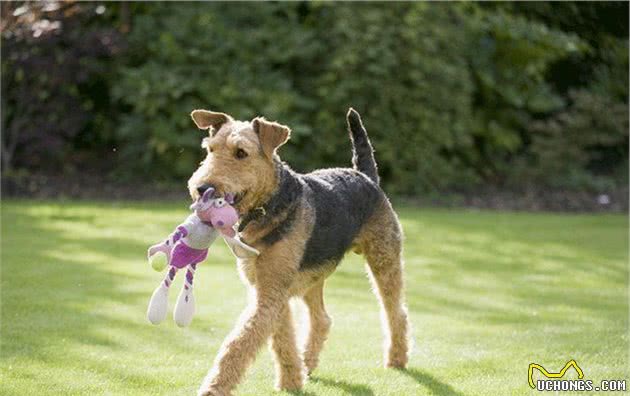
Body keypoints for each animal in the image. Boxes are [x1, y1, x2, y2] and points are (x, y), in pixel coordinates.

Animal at [188, 108, 412, 396]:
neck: (269, 206)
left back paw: (396, 359)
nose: (202, 189)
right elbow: (282, 340)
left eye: (241, 153)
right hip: (312, 277)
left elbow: (238, 343)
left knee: (395, 312)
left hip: (383, 260)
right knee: (322, 319)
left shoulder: (270, 293)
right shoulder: (271, 289)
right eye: (210, 149)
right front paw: (292, 382)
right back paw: (308, 363)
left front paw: (213, 388)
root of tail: (365, 176)